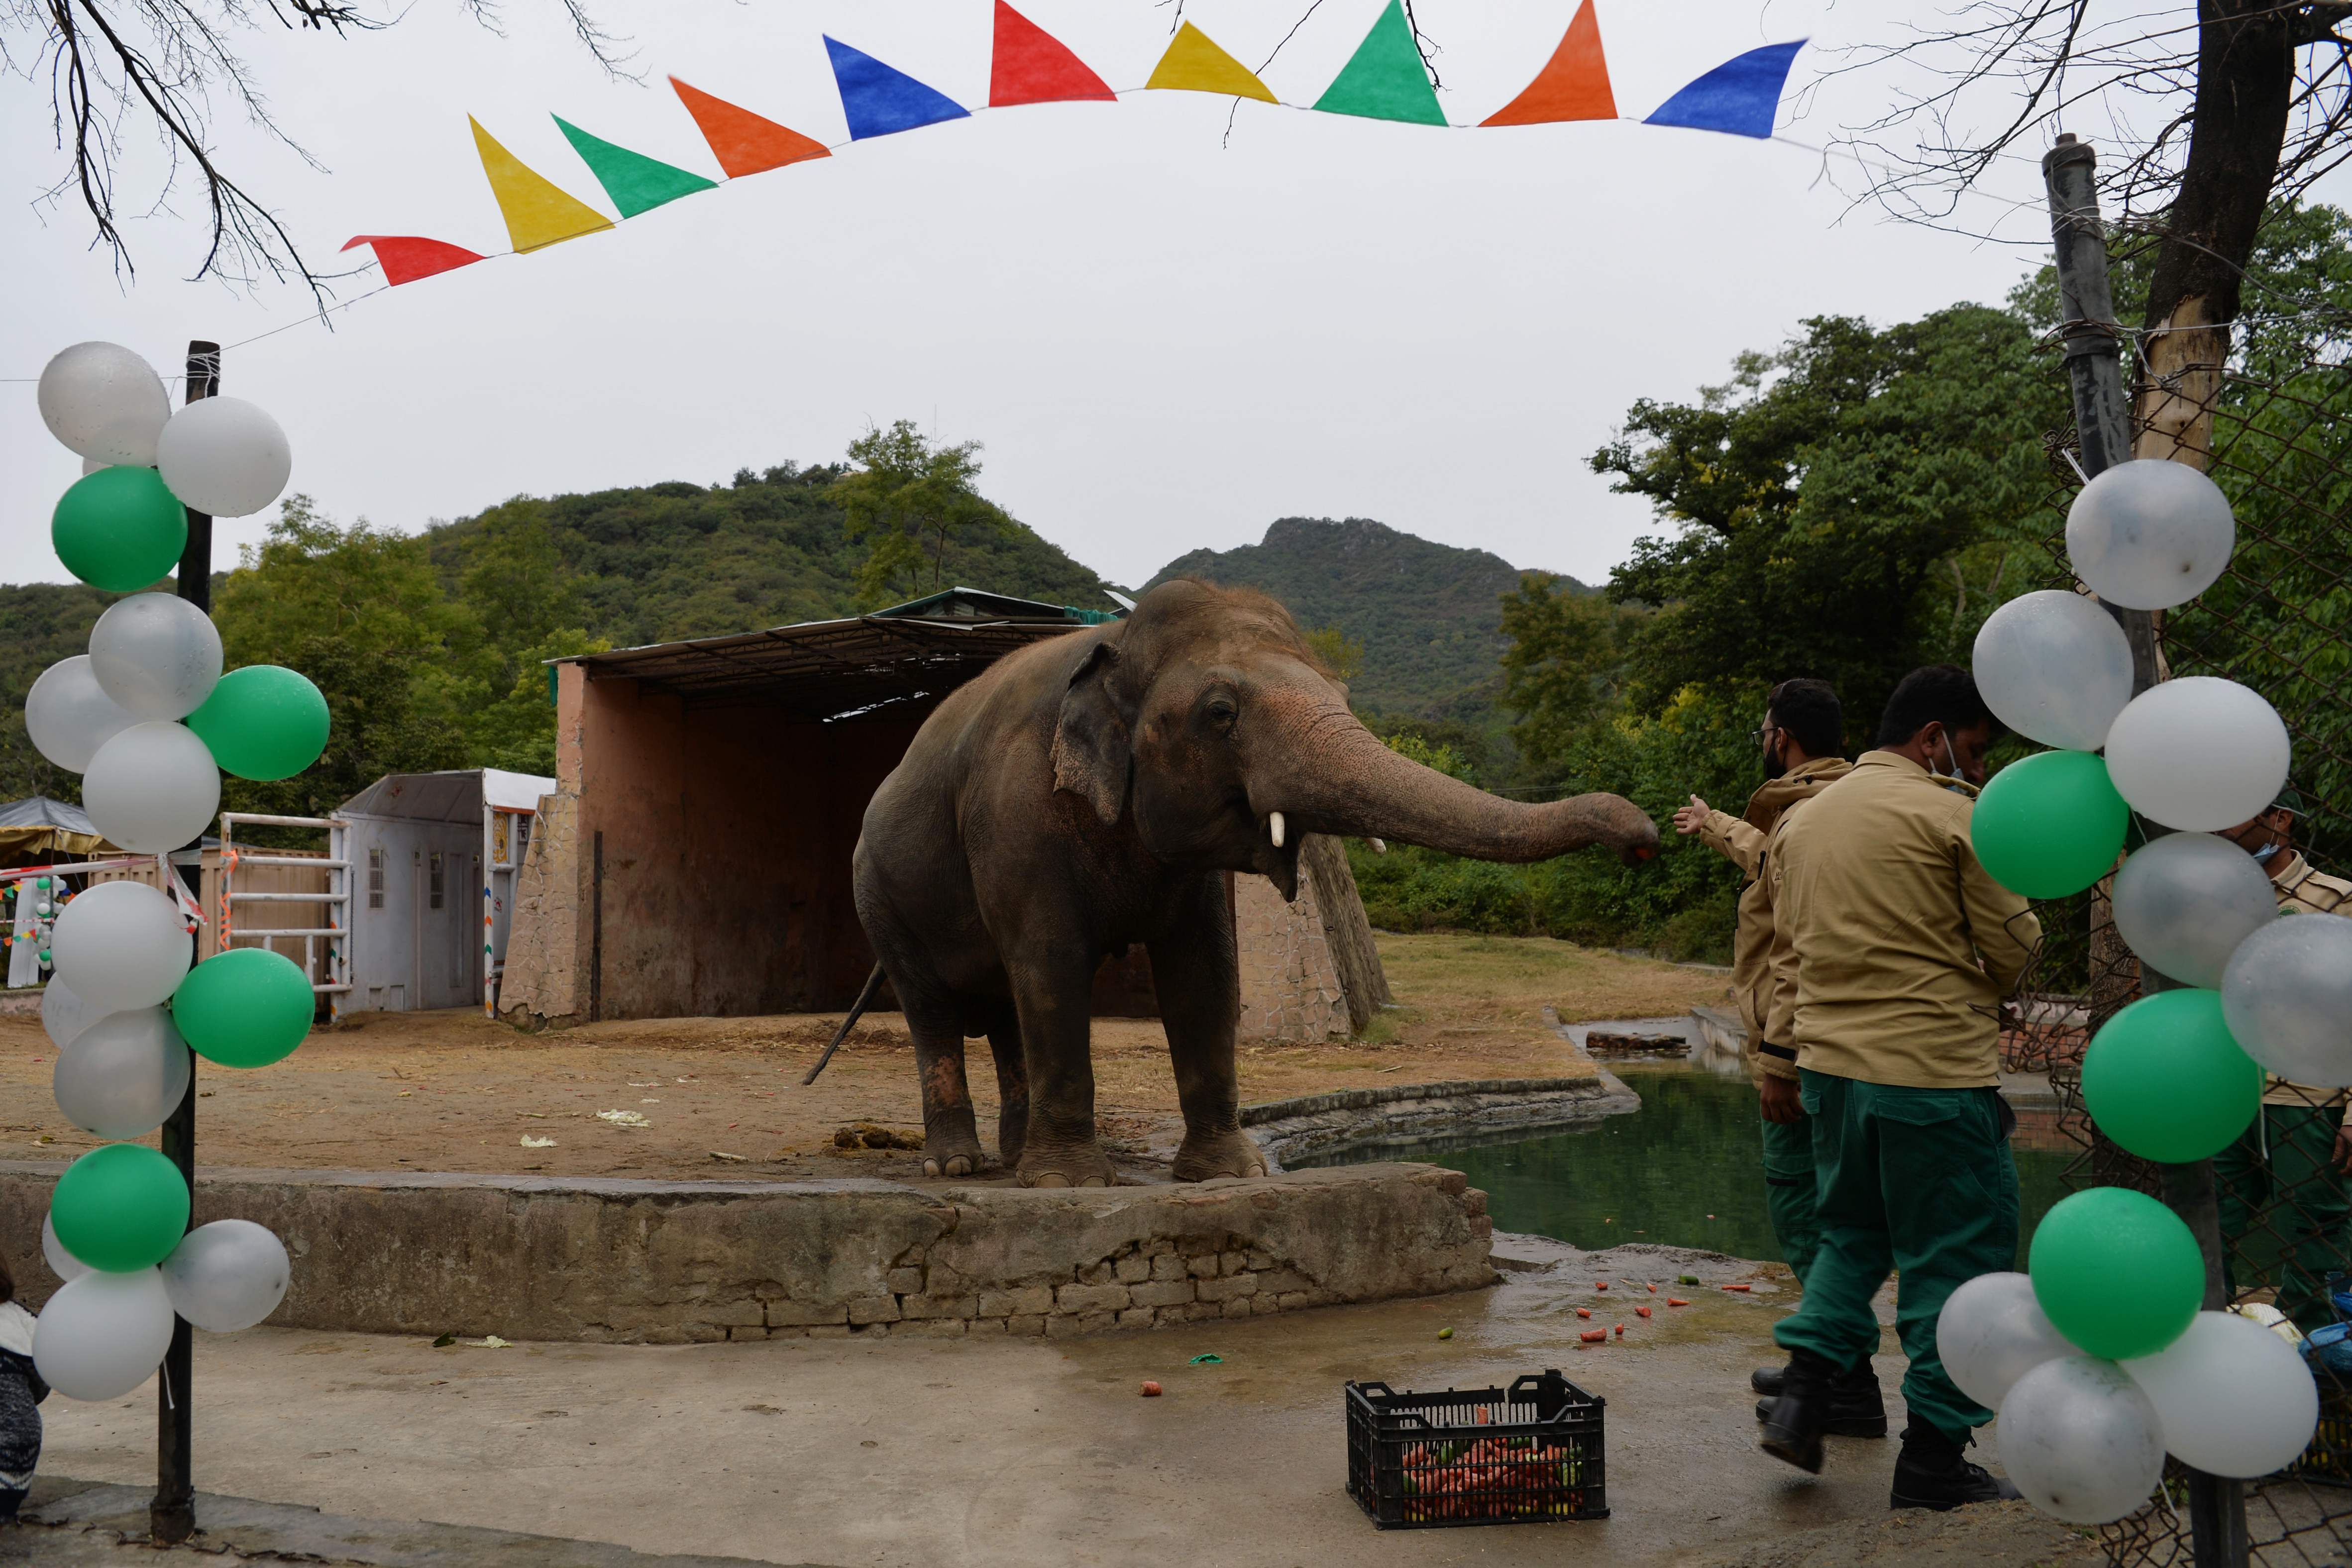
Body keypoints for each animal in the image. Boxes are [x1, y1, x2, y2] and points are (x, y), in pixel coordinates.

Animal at [849, 578, 1660, 1188]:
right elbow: (1051, 963)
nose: (1643, 838)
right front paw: (1071, 1186)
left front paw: (1227, 1175)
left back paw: (1012, 1158)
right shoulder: (1014, 816)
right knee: (935, 1010)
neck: (1114, 640)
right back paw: (958, 1165)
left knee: (1002, 1013)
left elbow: (1205, 971)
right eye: (1220, 713)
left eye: (1342, 691)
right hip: (876, 895)